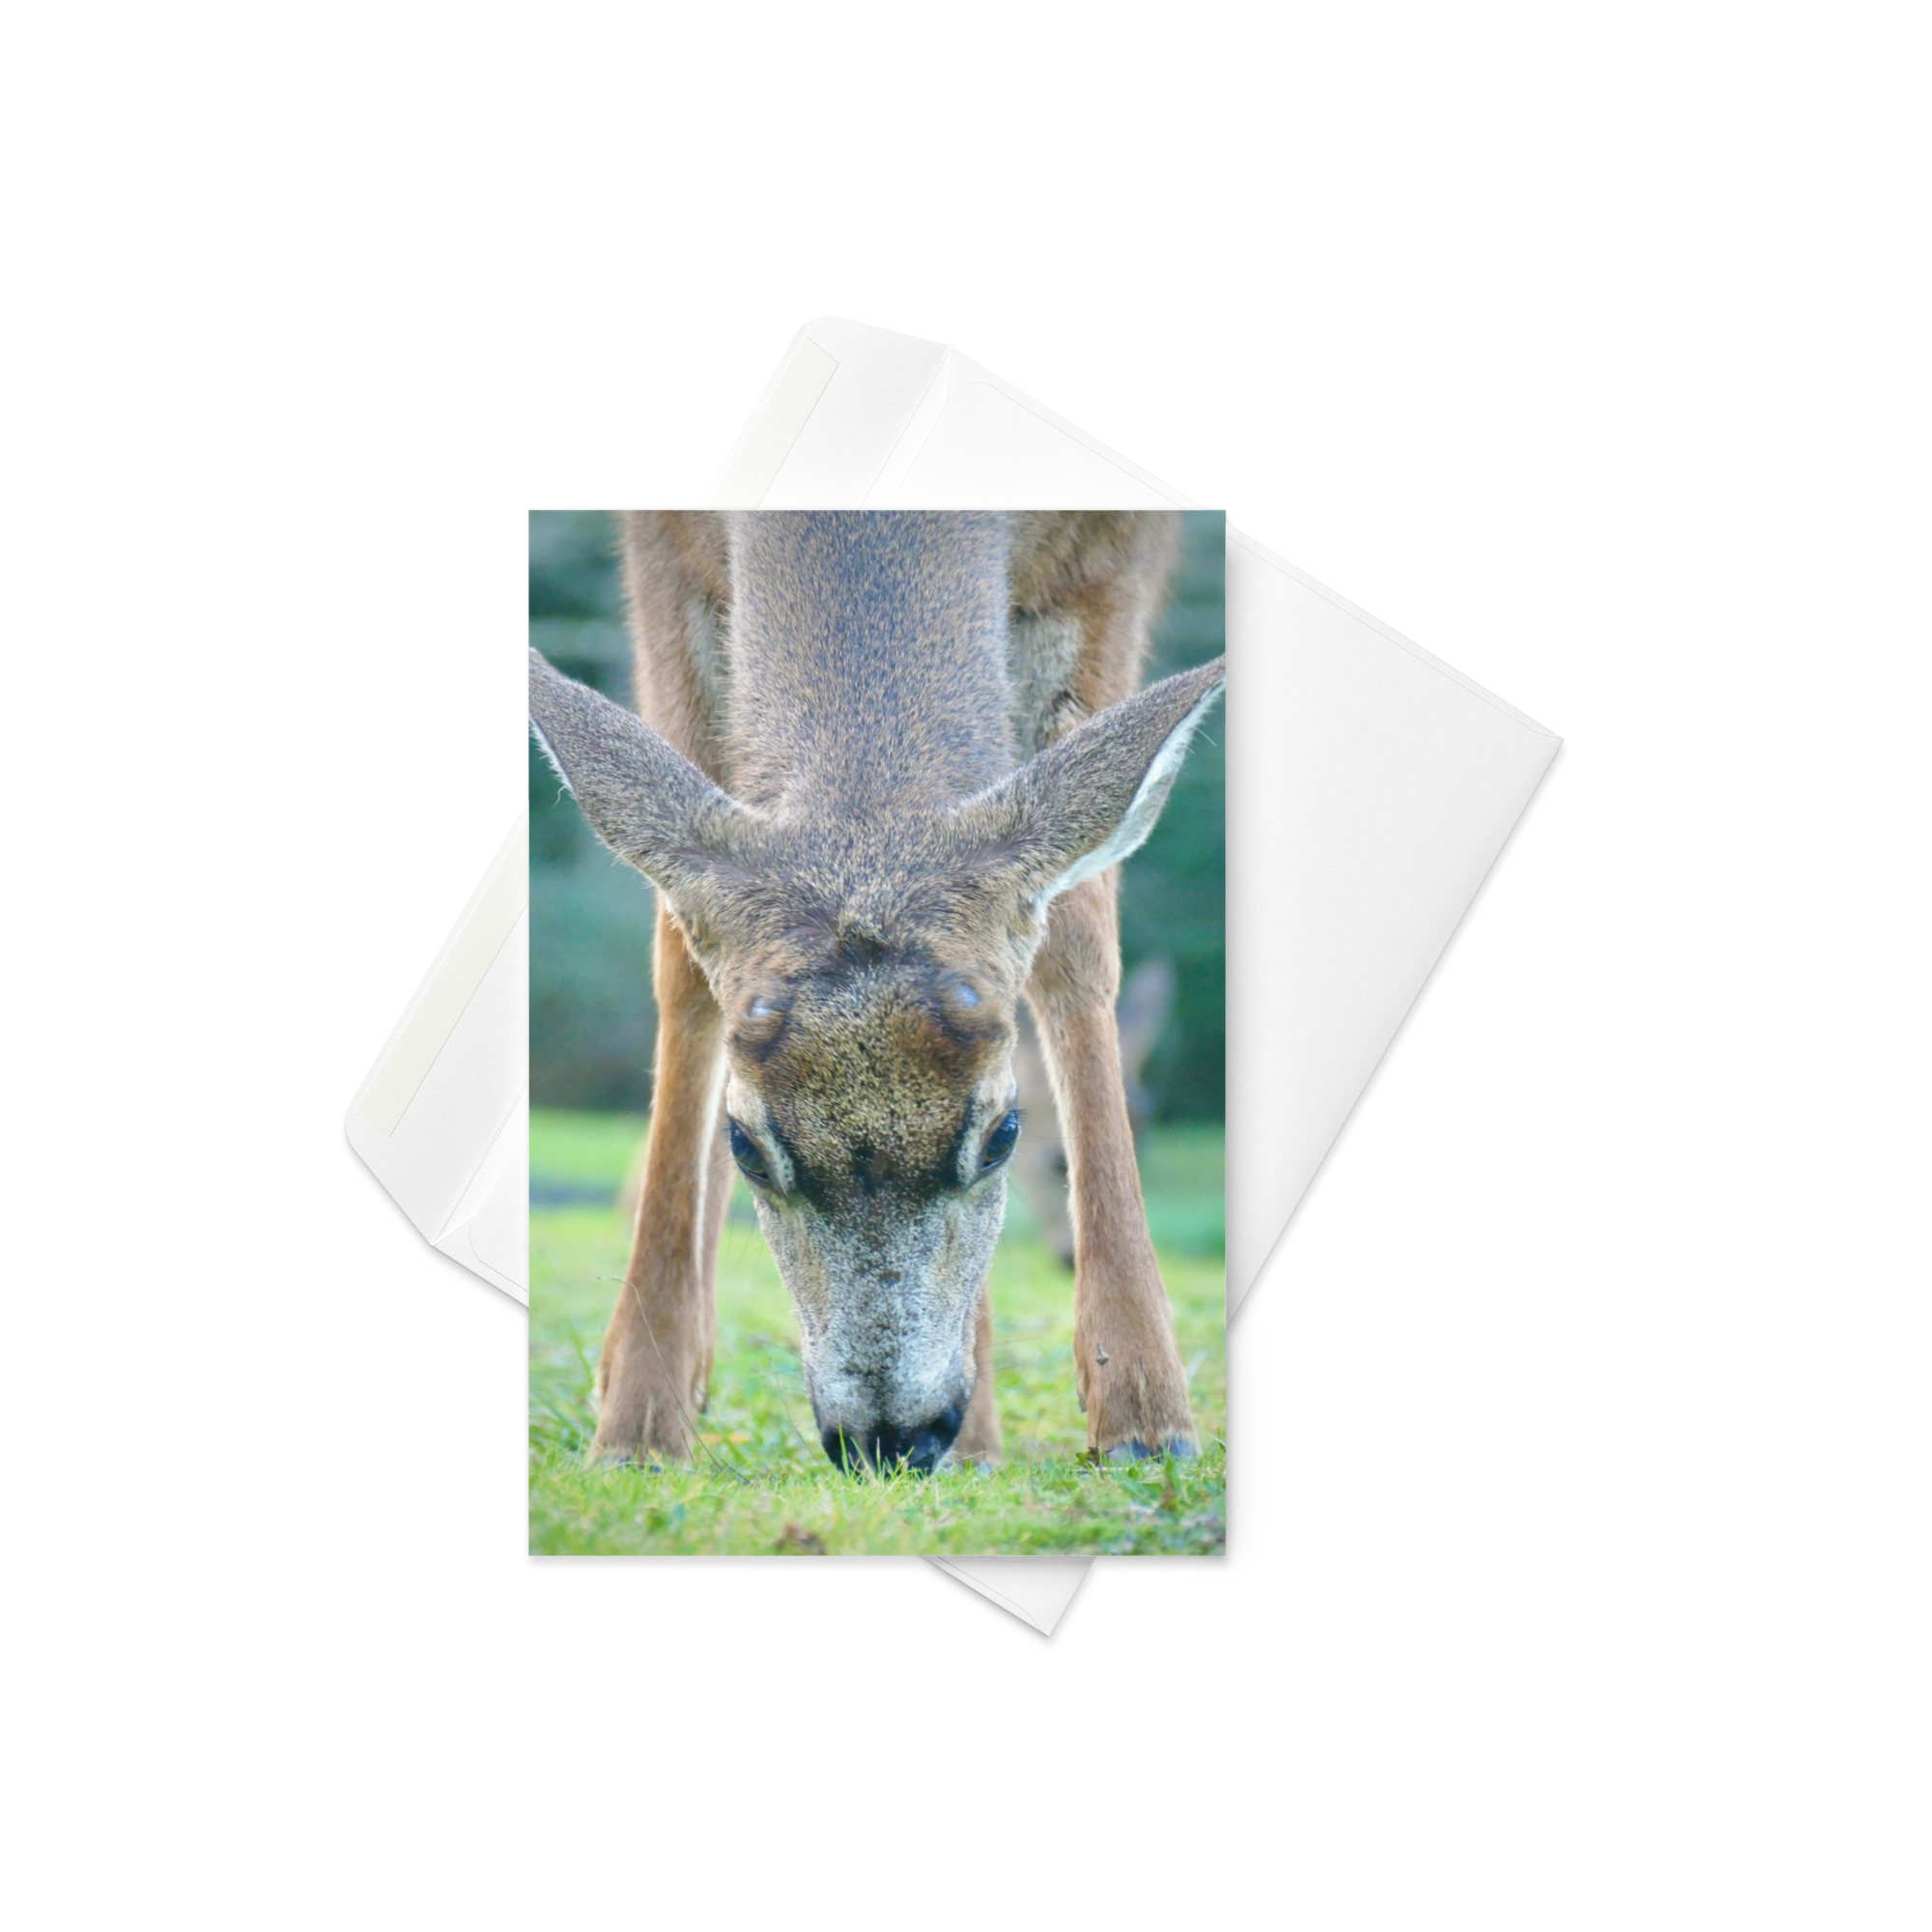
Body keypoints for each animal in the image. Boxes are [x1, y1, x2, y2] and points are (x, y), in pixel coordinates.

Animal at [527, 510, 1223, 1476]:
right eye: (747, 1146)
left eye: (1002, 1134)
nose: (892, 1437)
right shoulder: (659, 552)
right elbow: (678, 952)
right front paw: (638, 1421)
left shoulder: (1116, 555)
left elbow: (1079, 931)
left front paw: (1146, 1415)